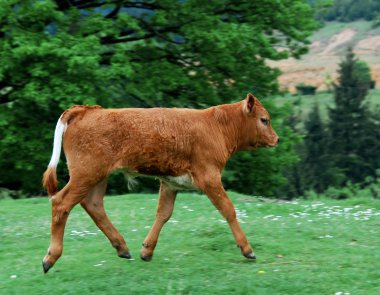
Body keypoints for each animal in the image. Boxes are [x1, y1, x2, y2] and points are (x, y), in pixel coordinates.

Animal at [42, 93, 280, 274]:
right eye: (264, 119)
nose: (276, 139)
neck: (217, 126)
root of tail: (87, 110)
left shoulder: (170, 184)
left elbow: (163, 213)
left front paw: (147, 250)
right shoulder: (209, 177)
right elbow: (228, 209)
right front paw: (247, 249)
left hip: (98, 176)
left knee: (93, 204)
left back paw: (121, 247)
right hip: (86, 173)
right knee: (62, 202)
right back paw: (51, 257)